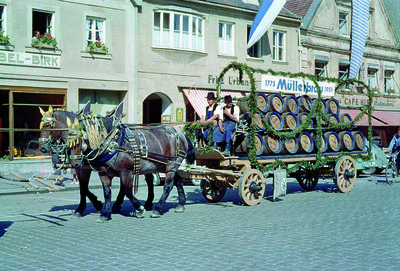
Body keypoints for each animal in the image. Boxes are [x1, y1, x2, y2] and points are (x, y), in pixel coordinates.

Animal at [39, 103, 195, 222]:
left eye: (48, 126)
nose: (42, 148)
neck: (110, 142)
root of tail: (179, 132)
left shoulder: (123, 171)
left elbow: (126, 190)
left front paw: (138, 209)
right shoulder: (101, 171)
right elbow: (102, 191)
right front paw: (103, 212)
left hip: (171, 164)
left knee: (167, 185)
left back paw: (157, 208)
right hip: (163, 165)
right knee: (176, 180)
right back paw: (179, 204)